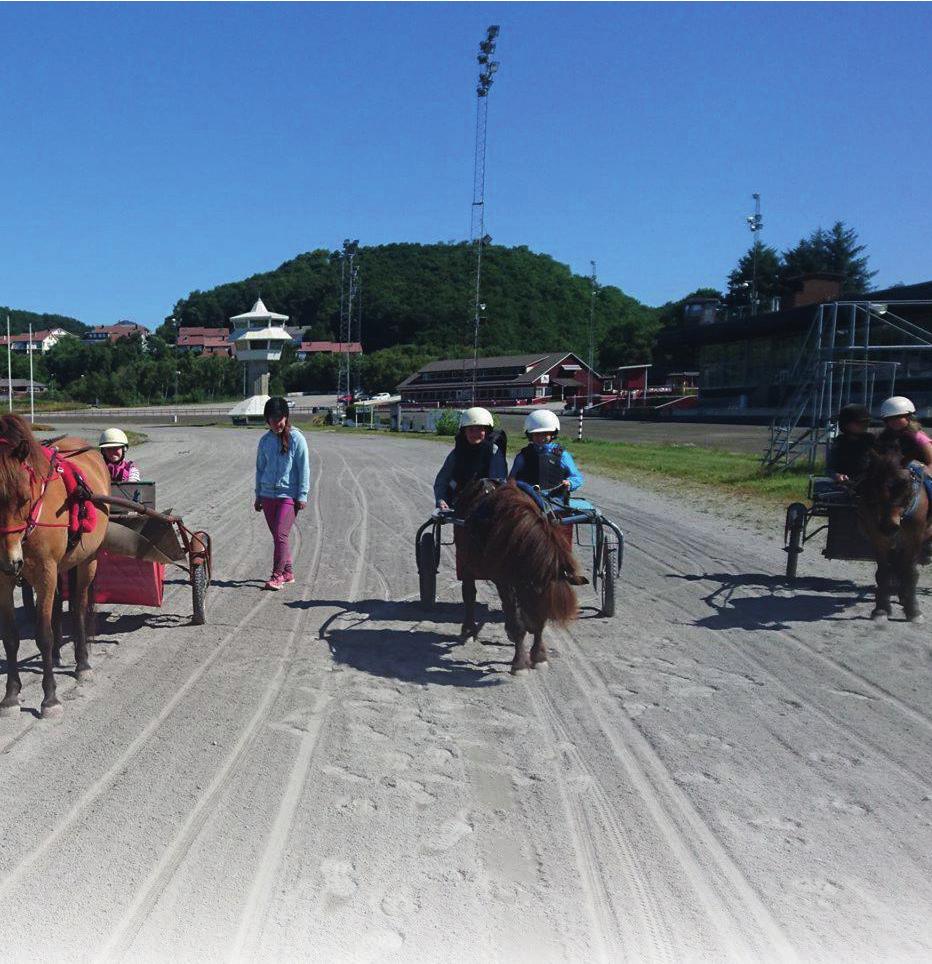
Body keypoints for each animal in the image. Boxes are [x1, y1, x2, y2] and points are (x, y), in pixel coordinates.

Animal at [0, 418, 110, 720]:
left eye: (24, 498)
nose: (10, 561)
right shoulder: (3, 579)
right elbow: (10, 637)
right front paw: (11, 696)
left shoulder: (45, 573)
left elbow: (43, 635)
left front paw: (49, 698)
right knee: (61, 604)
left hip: (88, 560)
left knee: (78, 606)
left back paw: (82, 663)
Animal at [456, 480, 584, 676]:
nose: (532, 624)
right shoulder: (505, 581)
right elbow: (517, 623)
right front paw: (520, 663)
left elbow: (525, 617)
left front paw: (539, 656)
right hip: (466, 562)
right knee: (469, 592)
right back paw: (469, 630)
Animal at [856, 444, 928, 624]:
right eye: (875, 483)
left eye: (906, 484)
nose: (889, 526)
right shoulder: (879, 537)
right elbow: (883, 572)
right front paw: (881, 609)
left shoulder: (914, 539)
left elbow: (910, 572)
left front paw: (913, 611)